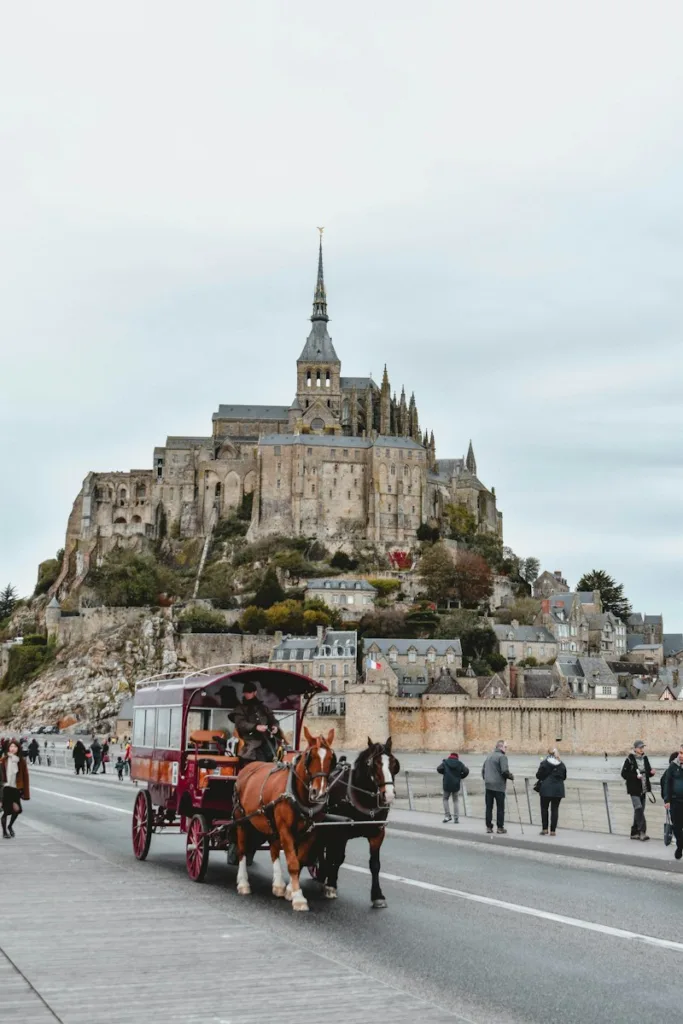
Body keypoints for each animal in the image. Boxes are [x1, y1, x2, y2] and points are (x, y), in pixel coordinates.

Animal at [232, 724, 335, 917]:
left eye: (332, 758)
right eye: (310, 756)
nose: (319, 793)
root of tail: (248, 768)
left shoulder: (310, 832)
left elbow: (300, 859)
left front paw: (289, 890)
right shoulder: (285, 830)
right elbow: (293, 863)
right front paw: (298, 898)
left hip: (270, 823)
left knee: (273, 850)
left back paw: (278, 884)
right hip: (241, 820)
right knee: (242, 850)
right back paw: (243, 883)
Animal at [309, 737, 401, 913]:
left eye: (394, 763)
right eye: (374, 764)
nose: (389, 795)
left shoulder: (377, 833)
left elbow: (375, 865)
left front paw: (378, 896)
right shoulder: (342, 831)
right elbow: (338, 858)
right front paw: (331, 885)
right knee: (321, 850)